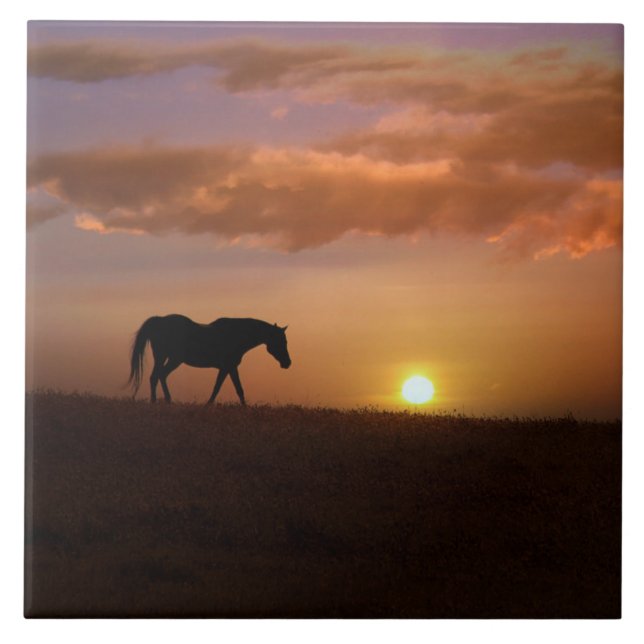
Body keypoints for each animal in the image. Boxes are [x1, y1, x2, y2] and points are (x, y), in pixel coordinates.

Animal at [127, 314, 291, 405]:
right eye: (281, 341)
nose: (288, 363)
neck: (236, 334)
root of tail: (159, 321)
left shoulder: (229, 368)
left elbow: (235, 388)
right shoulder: (228, 367)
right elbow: (221, 388)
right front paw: (209, 405)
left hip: (163, 358)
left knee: (156, 376)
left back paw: (158, 401)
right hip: (172, 359)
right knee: (160, 375)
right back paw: (165, 400)